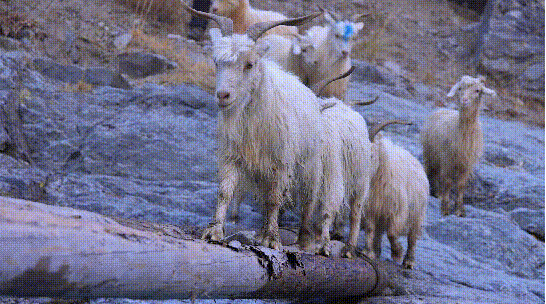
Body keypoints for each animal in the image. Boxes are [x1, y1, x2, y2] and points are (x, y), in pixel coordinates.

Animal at [364, 121, 428, 268]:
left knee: (412, 238)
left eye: (371, 155)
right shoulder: (370, 209)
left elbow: (392, 233)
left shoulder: (397, 210)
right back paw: (377, 250)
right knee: (379, 232)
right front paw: (368, 253)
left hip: (417, 215)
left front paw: (397, 253)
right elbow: (370, 229)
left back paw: (409, 261)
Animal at [418, 76, 496, 218]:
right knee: (430, 171)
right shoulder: (447, 161)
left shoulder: (467, 165)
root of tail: (442, 109)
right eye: (460, 88)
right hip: (429, 153)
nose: (464, 100)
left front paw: (459, 211)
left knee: (437, 175)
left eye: (477, 90)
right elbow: (448, 182)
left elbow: (461, 185)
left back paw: (438, 194)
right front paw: (445, 209)